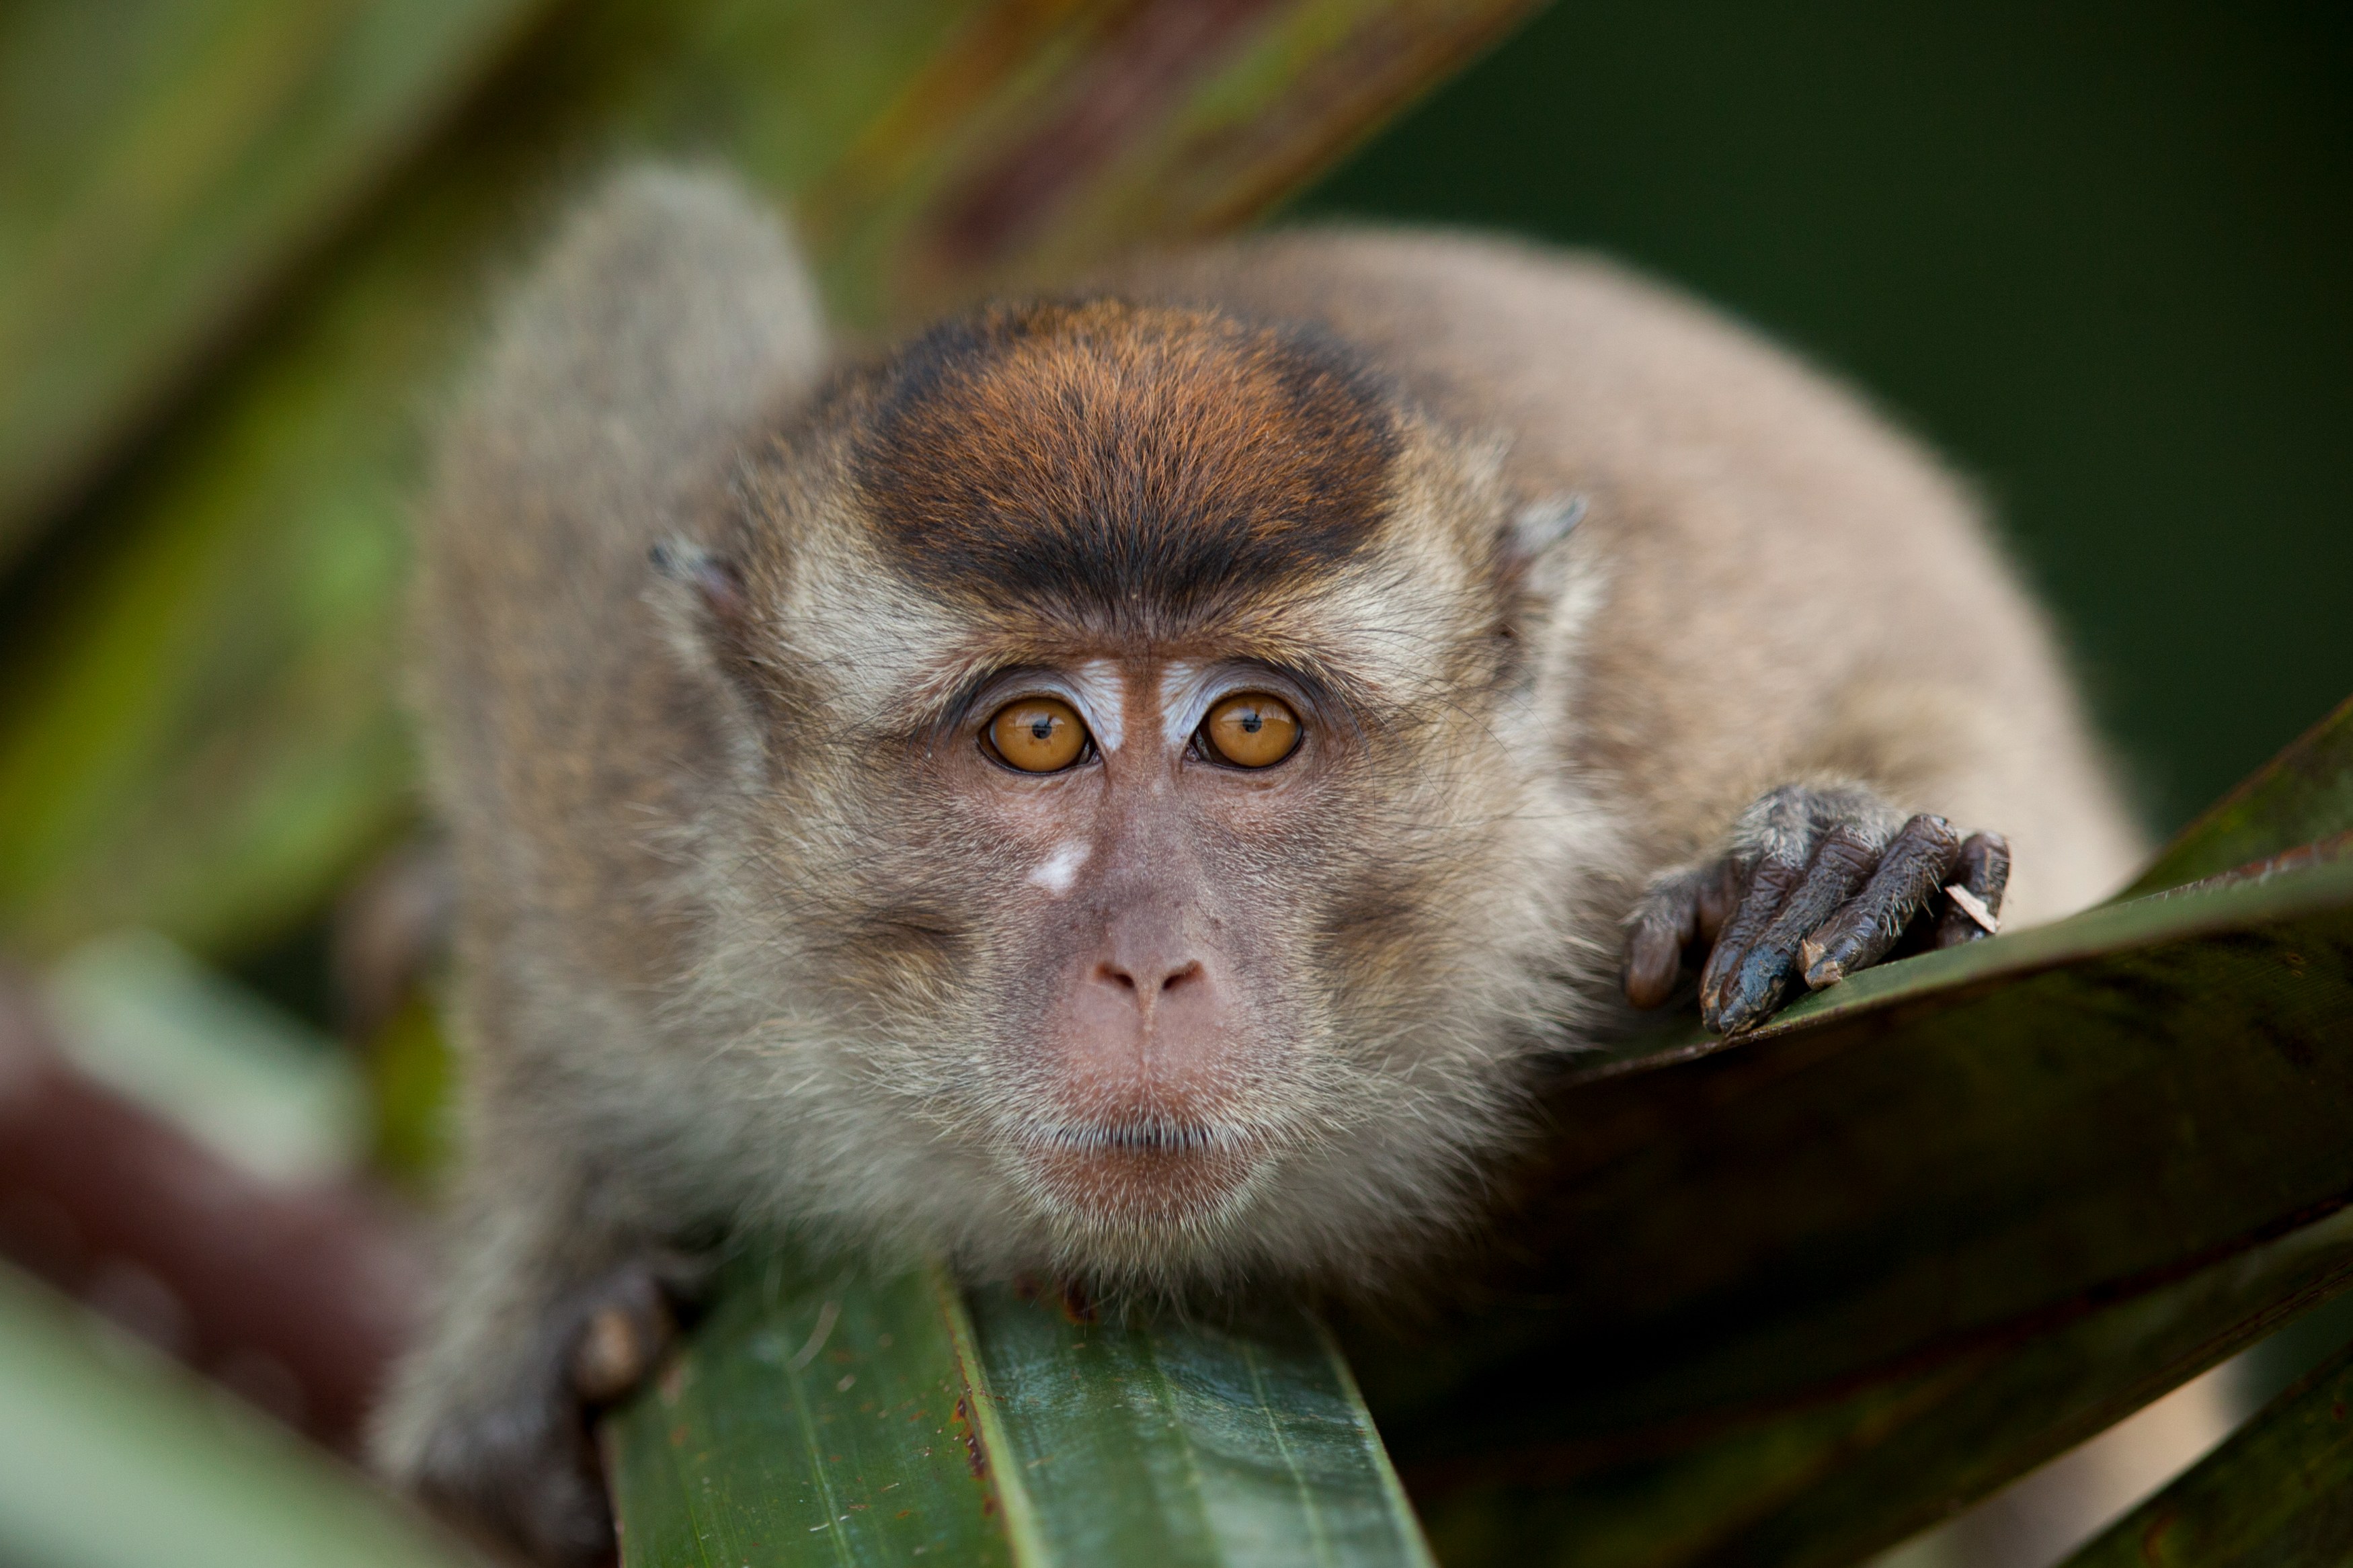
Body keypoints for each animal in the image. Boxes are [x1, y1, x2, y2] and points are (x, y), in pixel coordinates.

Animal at [370, 165, 2144, 1561]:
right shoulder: (597, 760)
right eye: (1036, 735)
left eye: (1249, 731)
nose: (1150, 959)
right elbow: (637, 279)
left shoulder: (1649, 759)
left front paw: (1837, 853)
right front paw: (541, 1283)